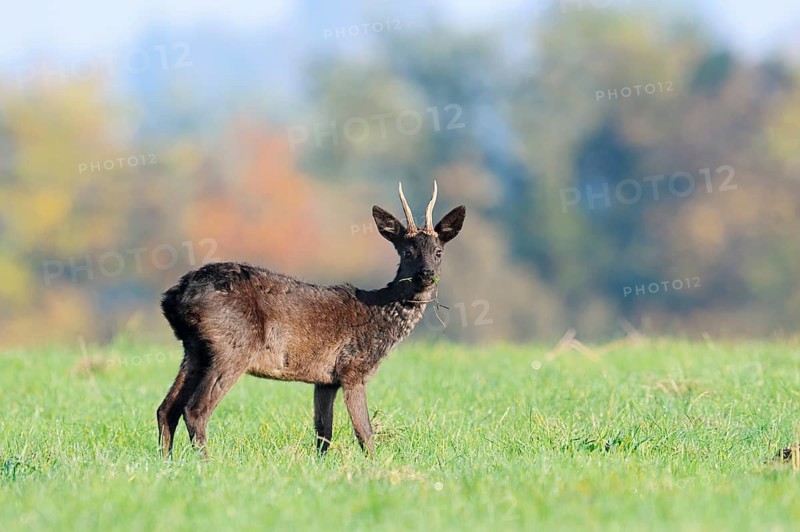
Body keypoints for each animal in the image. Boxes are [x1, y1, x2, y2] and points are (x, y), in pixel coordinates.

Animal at [156, 181, 465, 457]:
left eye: (438, 252)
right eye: (406, 251)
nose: (426, 274)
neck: (380, 316)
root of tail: (173, 296)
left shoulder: (325, 379)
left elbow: (323, 433)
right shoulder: (353, 368)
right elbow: (364, 433)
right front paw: (375, 468)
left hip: (194, 349)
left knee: (166, 408)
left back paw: (168, 463)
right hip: (231, 346)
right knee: (195, 409)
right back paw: (206, 463)